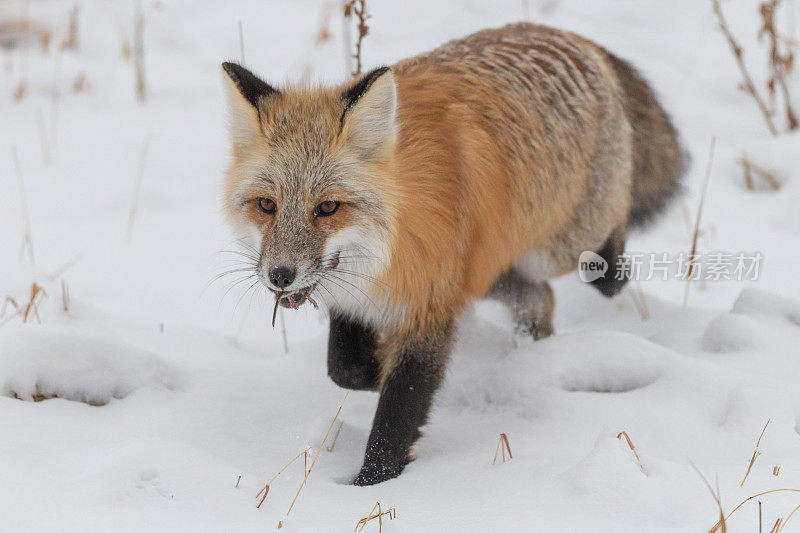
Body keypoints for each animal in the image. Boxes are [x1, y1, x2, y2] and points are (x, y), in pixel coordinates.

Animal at [220, 22, 688, 484]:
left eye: (328, 207)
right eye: (267, 205)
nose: (280, 276)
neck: (393, 238)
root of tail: (572, 36)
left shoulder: (429, 307)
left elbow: (396, 416)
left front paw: (372, 486)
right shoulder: (362, 293)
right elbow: (345, 369)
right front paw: (373, 371)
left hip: (564, 245)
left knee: (605, 266)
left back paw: (610, 270)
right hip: (486, 269)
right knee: (540, 298)